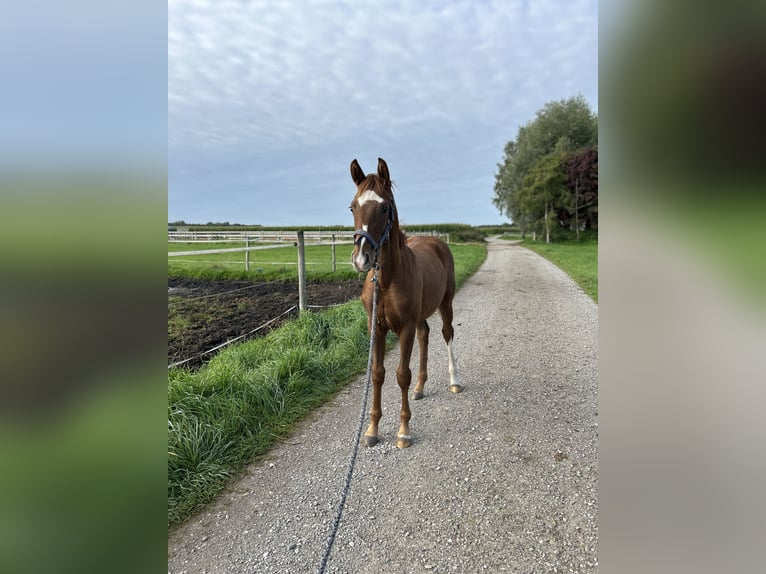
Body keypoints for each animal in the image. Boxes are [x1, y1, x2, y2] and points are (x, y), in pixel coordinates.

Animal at [349, 157, 462, 449]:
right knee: (425, 336)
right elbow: (378, 374)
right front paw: (372, 430)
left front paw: (403, 431)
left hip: (445, 304)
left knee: (447, 334)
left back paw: (454, 381)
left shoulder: (405, 328)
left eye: (384, 207)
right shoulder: (376, 327)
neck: (387, 280)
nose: (361, 259)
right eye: (352, 206)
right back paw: (420, 388)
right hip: (421, 316)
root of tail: (437, 242)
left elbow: (402, 374)